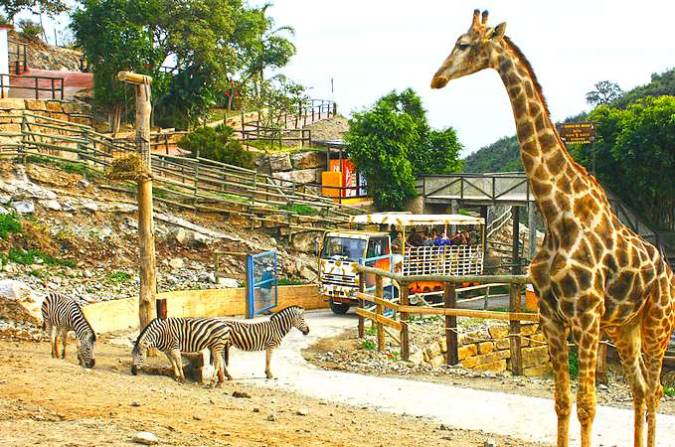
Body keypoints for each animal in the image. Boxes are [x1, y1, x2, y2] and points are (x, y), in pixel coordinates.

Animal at [434, 8, 675, 446]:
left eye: (464, 44)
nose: (437, 78)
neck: (557, 212)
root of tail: (669, 272)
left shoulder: (586, 318)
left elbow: (587, 406)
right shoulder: (551, 318)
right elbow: (562, 403)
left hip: (658, 323)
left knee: (656, 389)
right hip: (625, 327)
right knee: (640, 388)